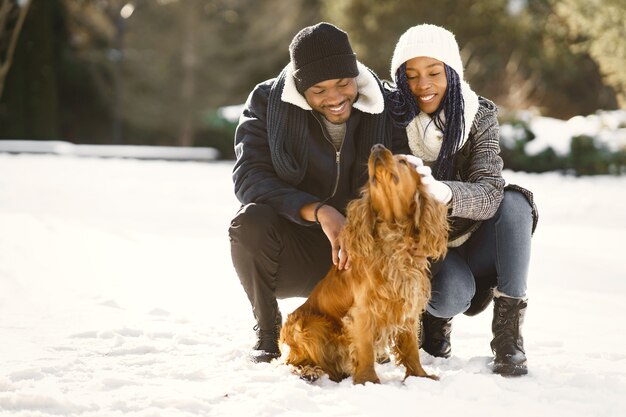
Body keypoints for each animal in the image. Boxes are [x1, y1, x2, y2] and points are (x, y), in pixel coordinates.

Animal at [280, 144, 448, 384]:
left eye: (403, 162)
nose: (377, 147)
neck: (393, 236)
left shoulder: (408, 306)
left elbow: (411, 348)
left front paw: (420, 377)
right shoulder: (363, 311)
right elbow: (366, 349)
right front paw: (367, 380)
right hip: (311, 325)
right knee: (293, 362)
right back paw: (310, 371)